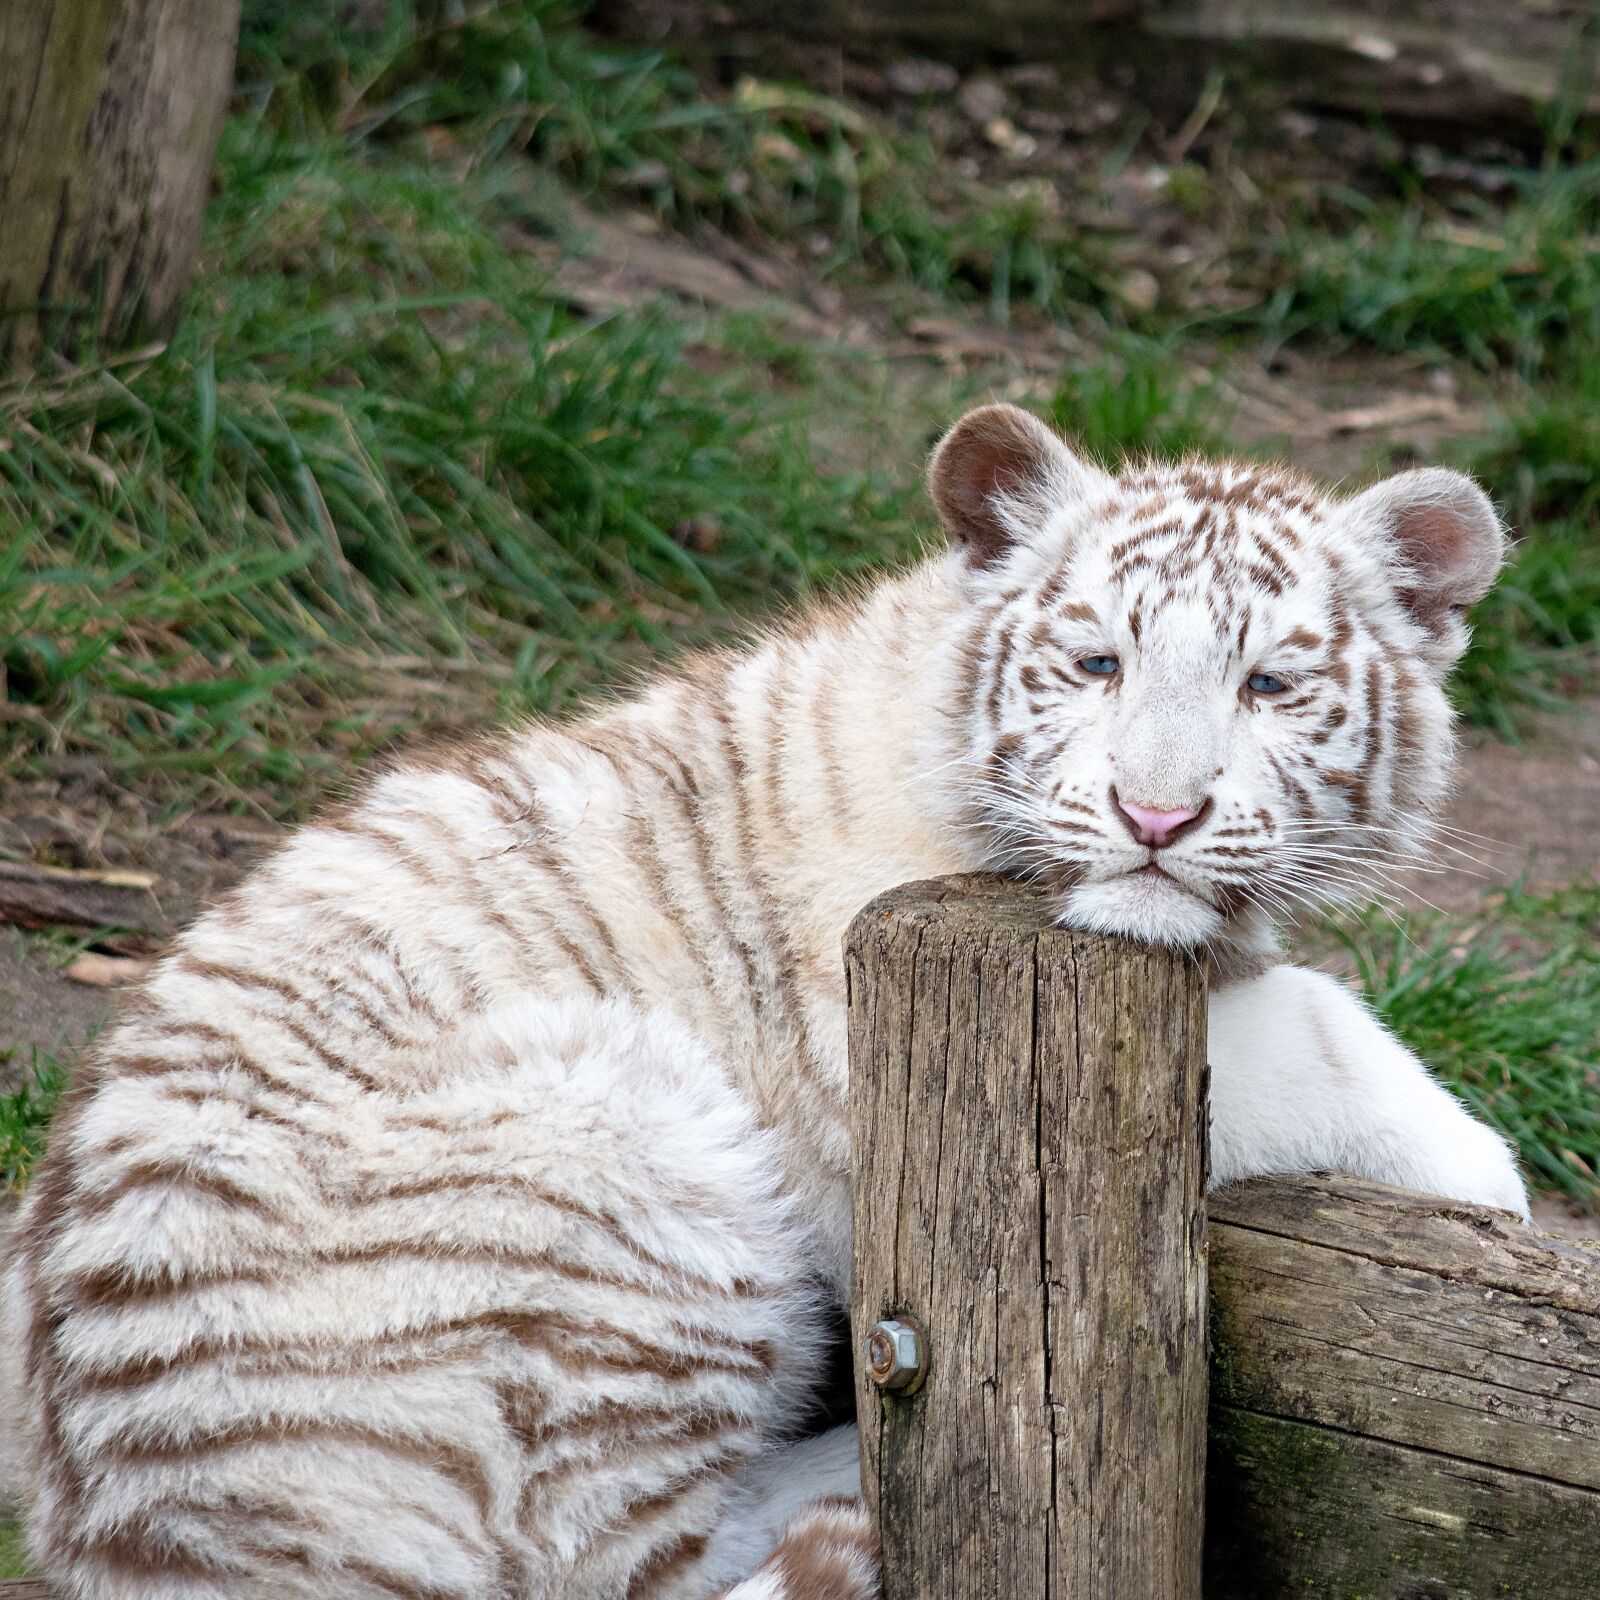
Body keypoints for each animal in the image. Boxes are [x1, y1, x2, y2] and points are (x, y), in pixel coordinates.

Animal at [1, 402, 1527, 1599]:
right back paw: (853, 1480)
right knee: (620, 1565)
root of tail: (153, 1531)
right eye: (1097, 662)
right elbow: (1317, 1031)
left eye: (1270, 685)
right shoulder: (873, 1023)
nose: (1157, 817)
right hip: (621, 1161)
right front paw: (1484, 1183)